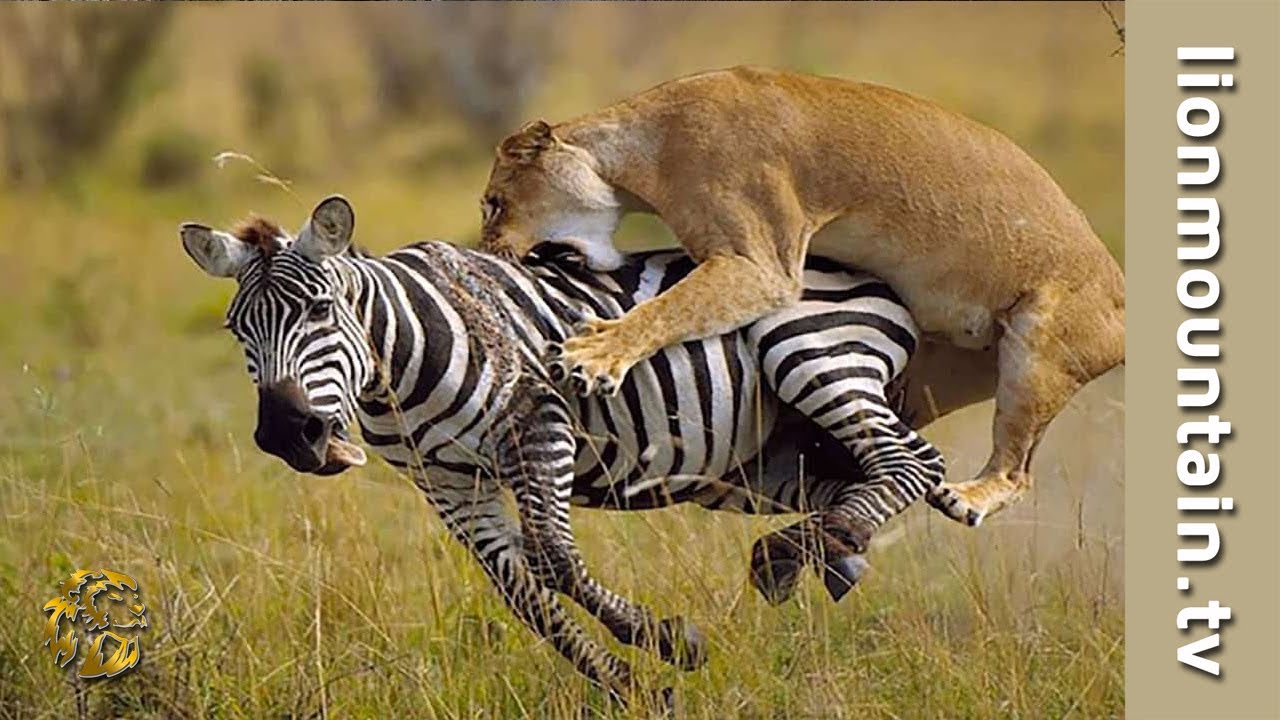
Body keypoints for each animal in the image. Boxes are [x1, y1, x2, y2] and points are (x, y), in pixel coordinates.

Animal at [179, 195, 947, 706]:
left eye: (318, 311)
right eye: (237, 328)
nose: (287, 433)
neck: (400, 356)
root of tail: (863, 270)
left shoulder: (539, 421)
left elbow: (552, 558)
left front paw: (670, 644)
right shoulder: (448, 481)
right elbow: (521, 593)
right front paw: (631, 687)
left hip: (811, 353)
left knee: (913, 463)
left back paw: (815, 547)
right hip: (764, 462)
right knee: (869, 478)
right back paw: (818, 554)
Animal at [477, 66, 1125, 526]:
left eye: (493, 204)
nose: (486, 252)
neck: (639, 150)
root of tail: (1122, 288)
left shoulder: (761, 265)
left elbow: (667, 307)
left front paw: (594, 356)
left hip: (1036, 354)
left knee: (1017, 471)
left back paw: (967, 497)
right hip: (936, 371)